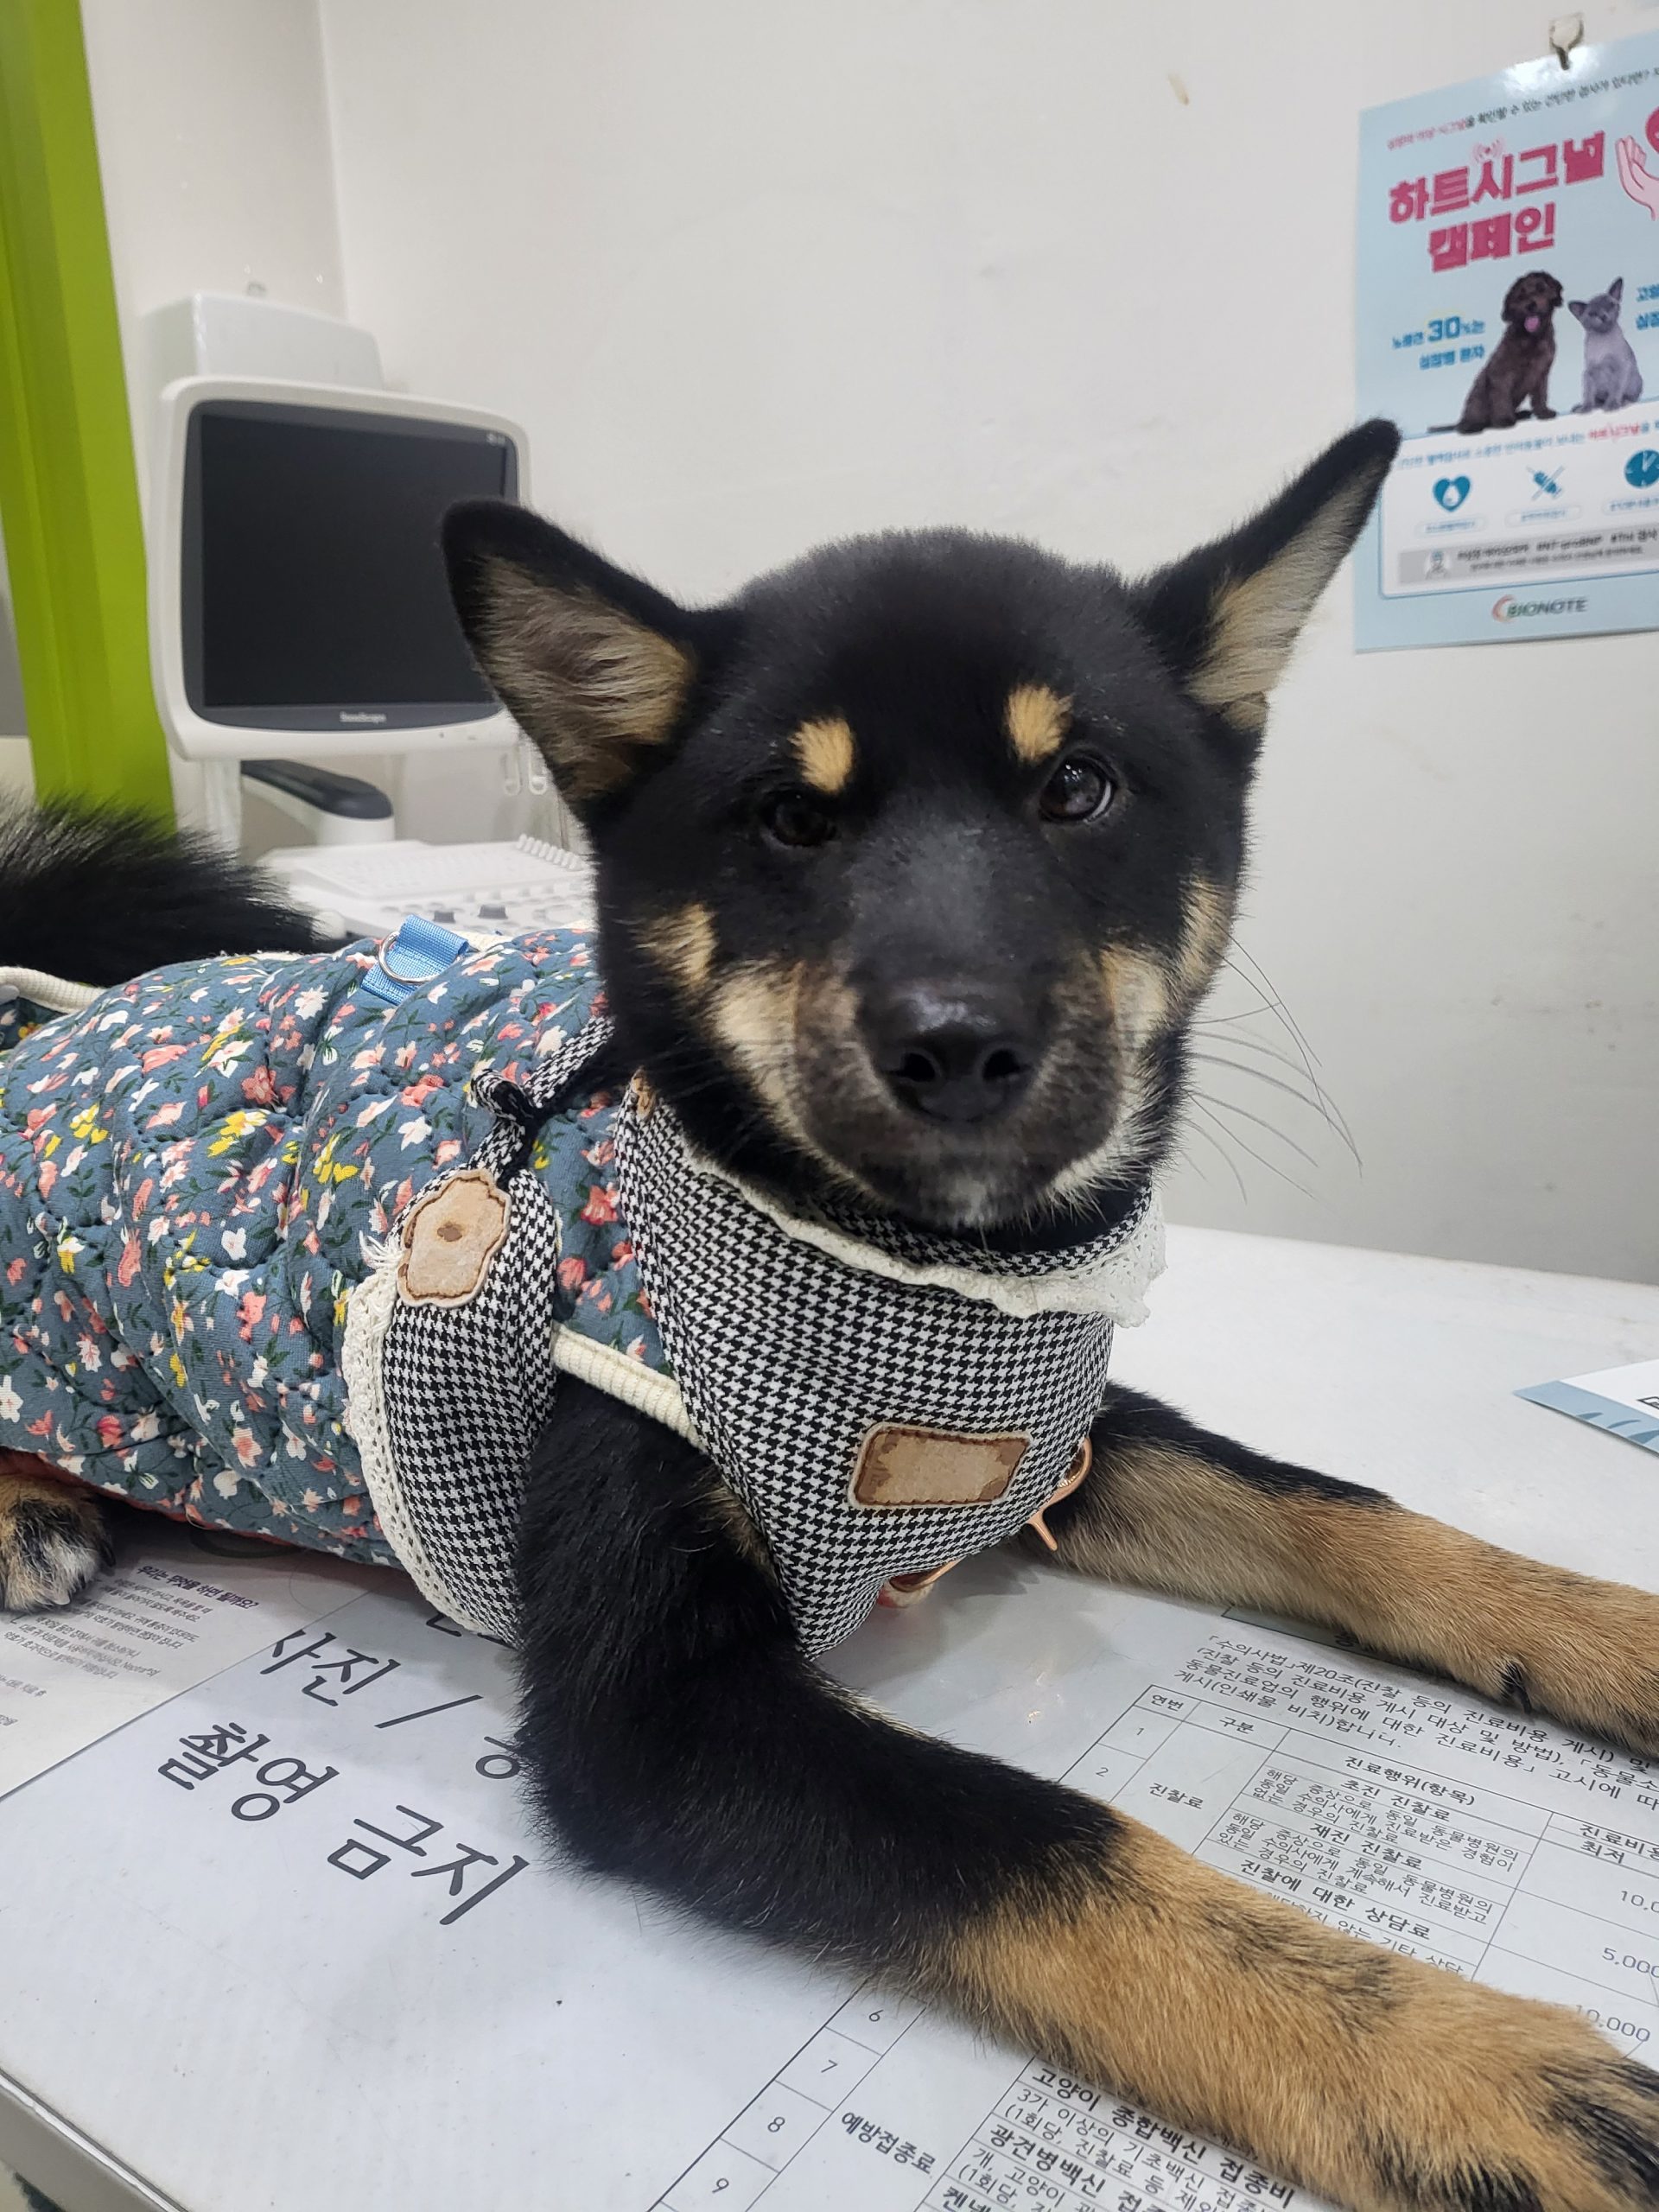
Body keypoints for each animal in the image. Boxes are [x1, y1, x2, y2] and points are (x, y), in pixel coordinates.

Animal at [7, 421, 1659, 2212]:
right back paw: (36, 1512)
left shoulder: (1051, 1445)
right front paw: (1486, 2077)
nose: (958, 1041)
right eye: (793, 819)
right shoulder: (662, 1713)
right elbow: (1061, 1848)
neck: (925, 1278)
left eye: (1078, 787)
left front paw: (1614, 1635)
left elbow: (1356, 1516)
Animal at [1456, 270, 1565, 433]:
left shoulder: (1541, 373)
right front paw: (1504, 420)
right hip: (1478, 393)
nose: (1530, 305)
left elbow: (1541, 395)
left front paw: (1543, 412)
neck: (1532, 338)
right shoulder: (1501, 374)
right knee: (1473, 416)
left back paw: (1521, 414)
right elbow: (1502, 398)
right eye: (1520, 295)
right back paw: (1472, 425)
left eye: (1541, 289)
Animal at [1570, 277, 1643, 411]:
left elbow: (1615, 390)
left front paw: (1612, 405)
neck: (1601, 342)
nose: (1603, 316)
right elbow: (1588, 394)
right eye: (1592, 314)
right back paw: (1582, 407)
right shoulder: (1589, 372)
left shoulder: (1619, 368)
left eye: (1610, 306)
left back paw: (1622, 402)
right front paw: (1586, 409)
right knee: (1597, 400)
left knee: (1628, 397)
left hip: (1635, 381)